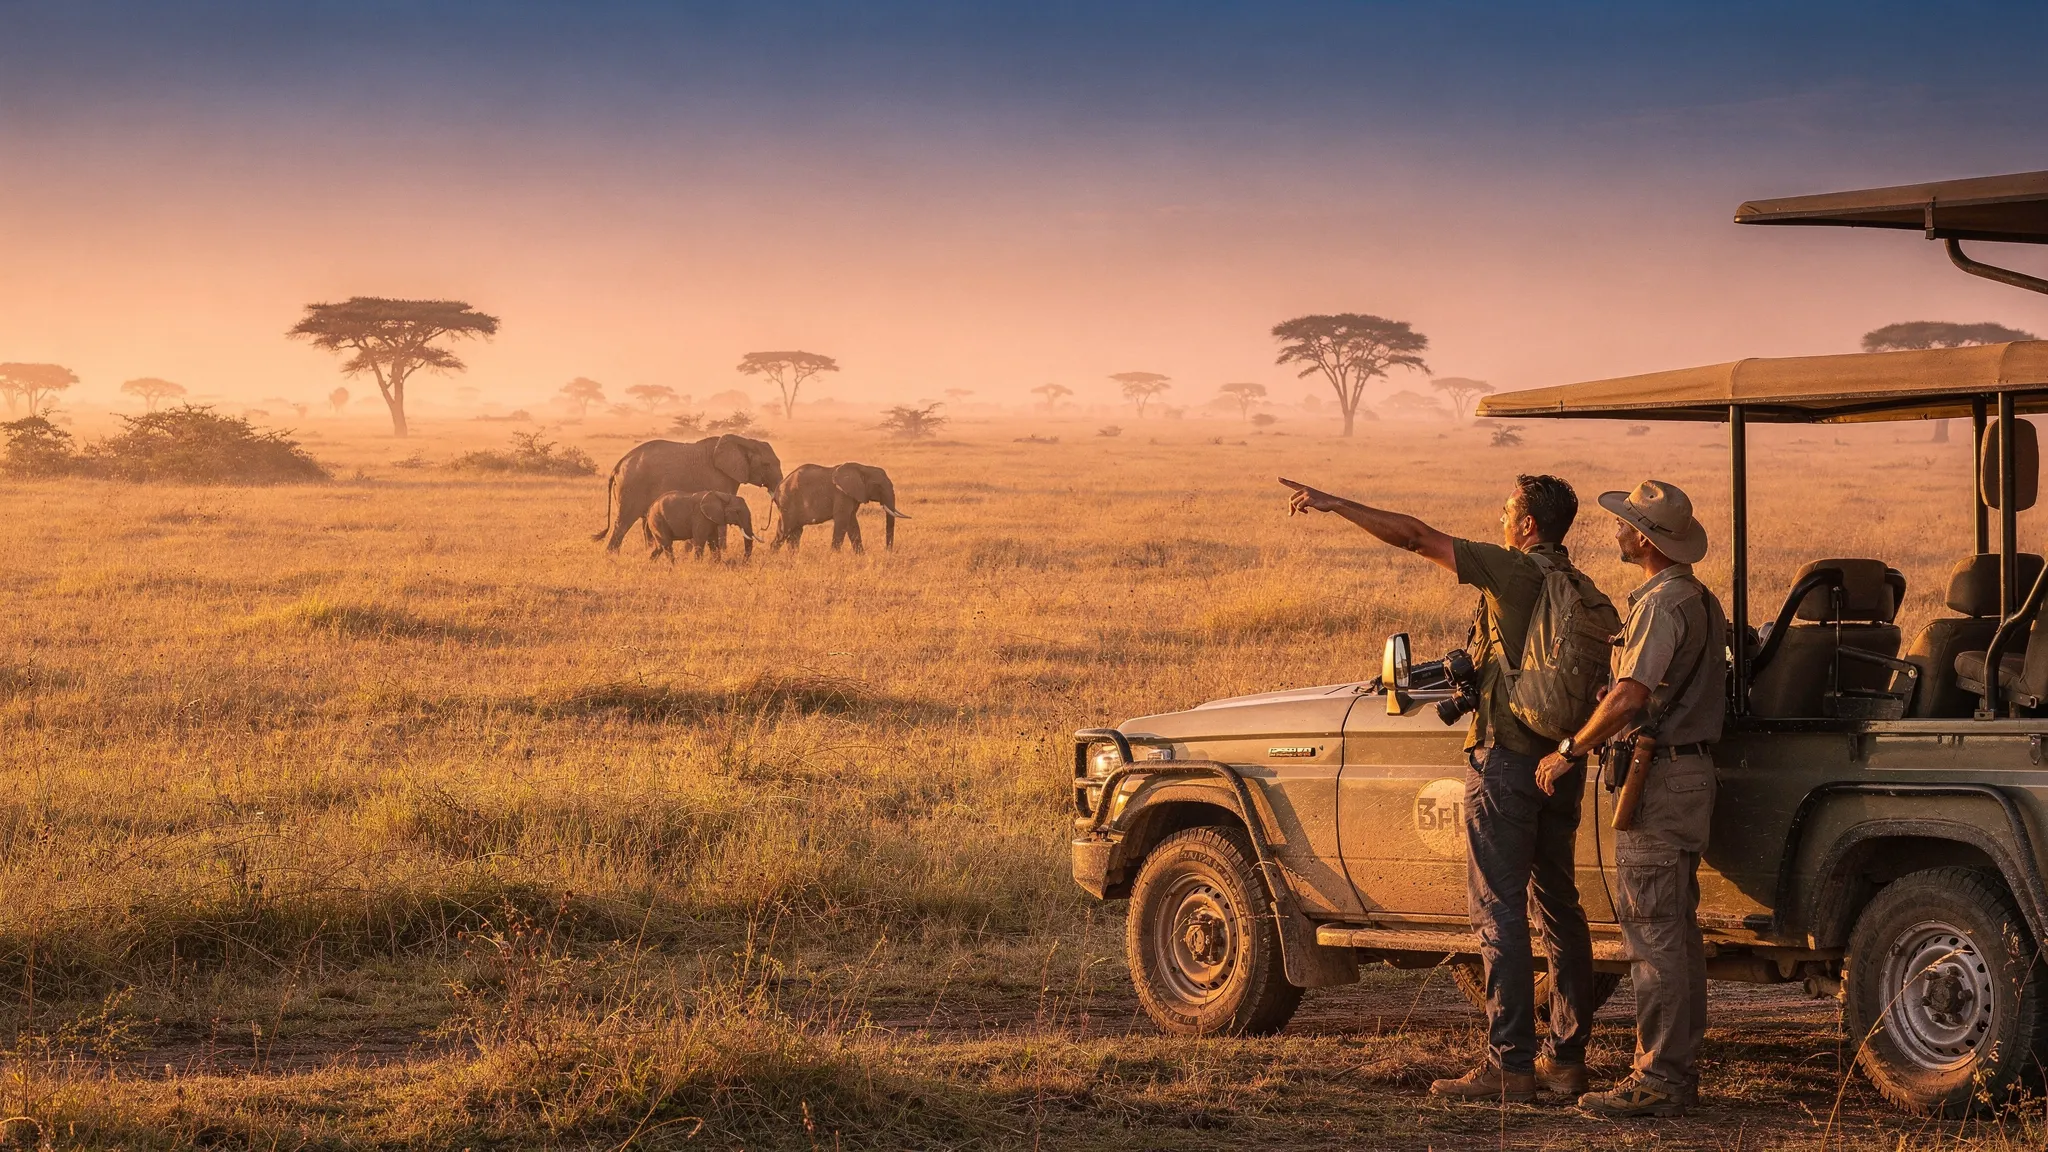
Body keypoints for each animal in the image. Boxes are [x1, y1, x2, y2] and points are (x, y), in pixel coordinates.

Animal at [591, 435, 782, 554]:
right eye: (766, 465)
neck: (745, 441)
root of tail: (617, 466)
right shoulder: (718, 478)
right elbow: (720, 521)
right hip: (632, 487)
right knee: (623, 522)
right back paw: (611, 555)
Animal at [771, 462, 909, 553]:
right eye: (878, 486)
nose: (887, 551)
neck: (863, 468)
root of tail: (778, 488)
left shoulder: (853, 495)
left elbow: (852, 524)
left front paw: (861, 556)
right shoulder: (842, 494)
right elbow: (842, 521)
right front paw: (833, 556)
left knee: (794, 533)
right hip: (788, 503)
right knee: (785, 531)